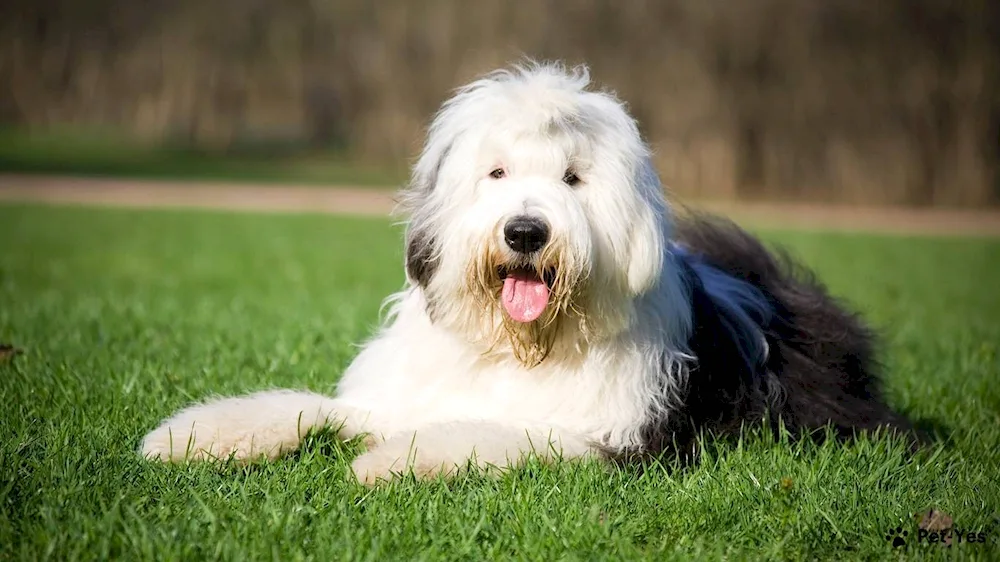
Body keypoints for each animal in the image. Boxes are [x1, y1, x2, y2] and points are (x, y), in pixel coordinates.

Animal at [141, 60, 916, 482]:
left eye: (573, 178)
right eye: (497, 173)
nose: (524, 231)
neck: (520, 346)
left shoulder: (614, 437)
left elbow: (496, 432)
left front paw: (389, 461)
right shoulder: (397, 392)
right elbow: (307, 406)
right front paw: (191, 437)